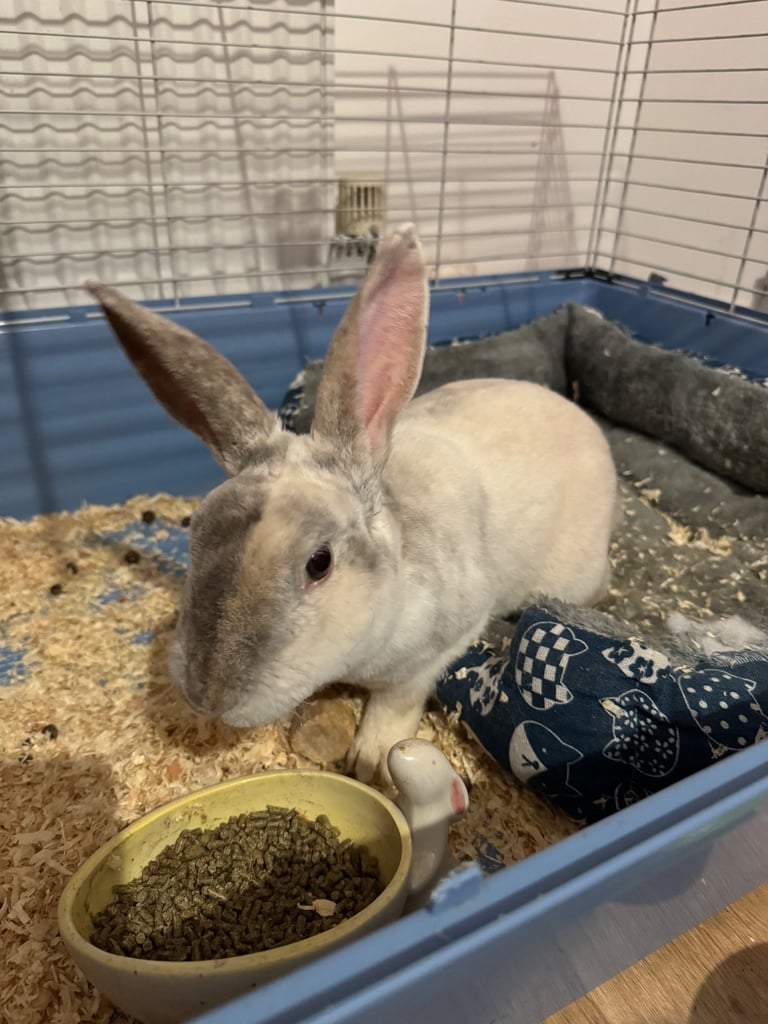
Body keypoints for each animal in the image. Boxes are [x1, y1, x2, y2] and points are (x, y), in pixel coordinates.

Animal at [85, 223, 617, 784]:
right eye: (196, 532)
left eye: (319, 563)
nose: (209, 697)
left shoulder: (436, 649)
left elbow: (397, 702)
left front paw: (370, 760)